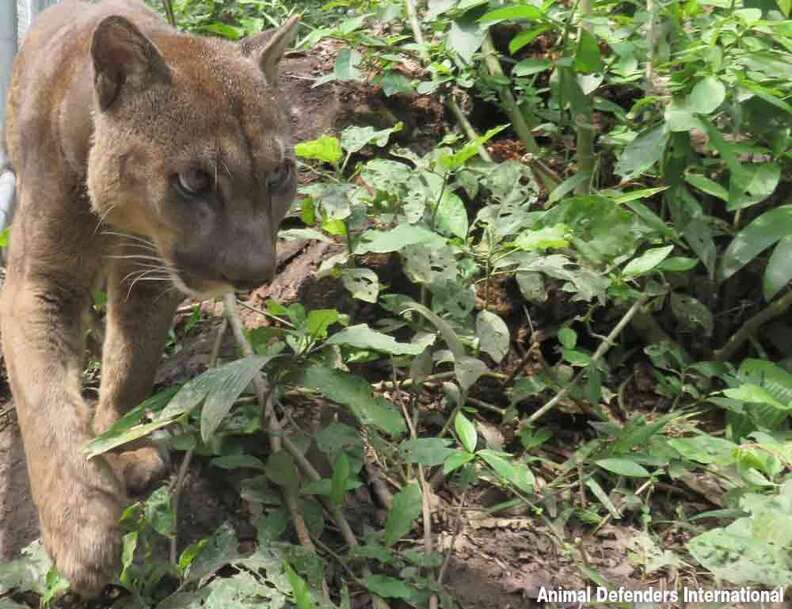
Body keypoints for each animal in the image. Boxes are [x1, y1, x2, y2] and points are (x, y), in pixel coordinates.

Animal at [1, 0, 298, 592]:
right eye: (194, 180)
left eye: (279, 174)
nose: (254, 272)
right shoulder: (38, 282)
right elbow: (45, 400)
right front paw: (81, 526)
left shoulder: (150, 276)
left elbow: (132, 364)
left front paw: (125, 445)